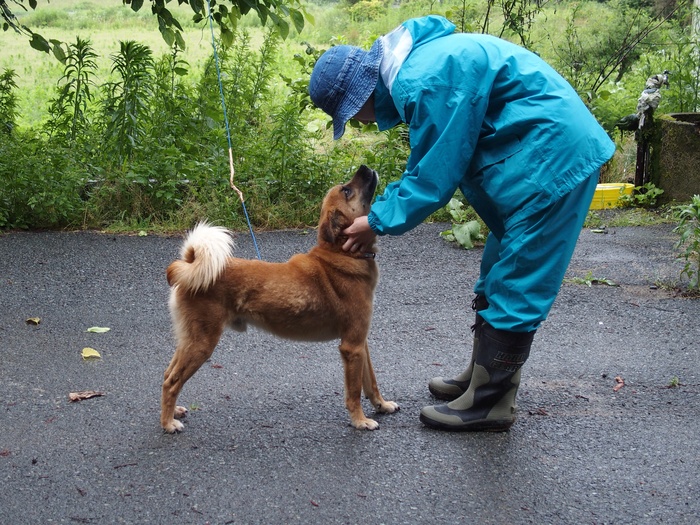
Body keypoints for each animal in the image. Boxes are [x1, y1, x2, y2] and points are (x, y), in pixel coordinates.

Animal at [161, 166, 396, 432]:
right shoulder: (352, 346)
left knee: (167, 375)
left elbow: (371, 382)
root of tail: (189, 264)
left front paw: (382, 405)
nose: (364, 168)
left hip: (189, 341)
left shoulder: (361, 343)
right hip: (201, 344)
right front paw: (359, 420)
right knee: (172, 382)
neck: (341, 254)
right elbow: (355, 391)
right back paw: (168, 423)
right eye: (347, 190)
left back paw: (173, 412)